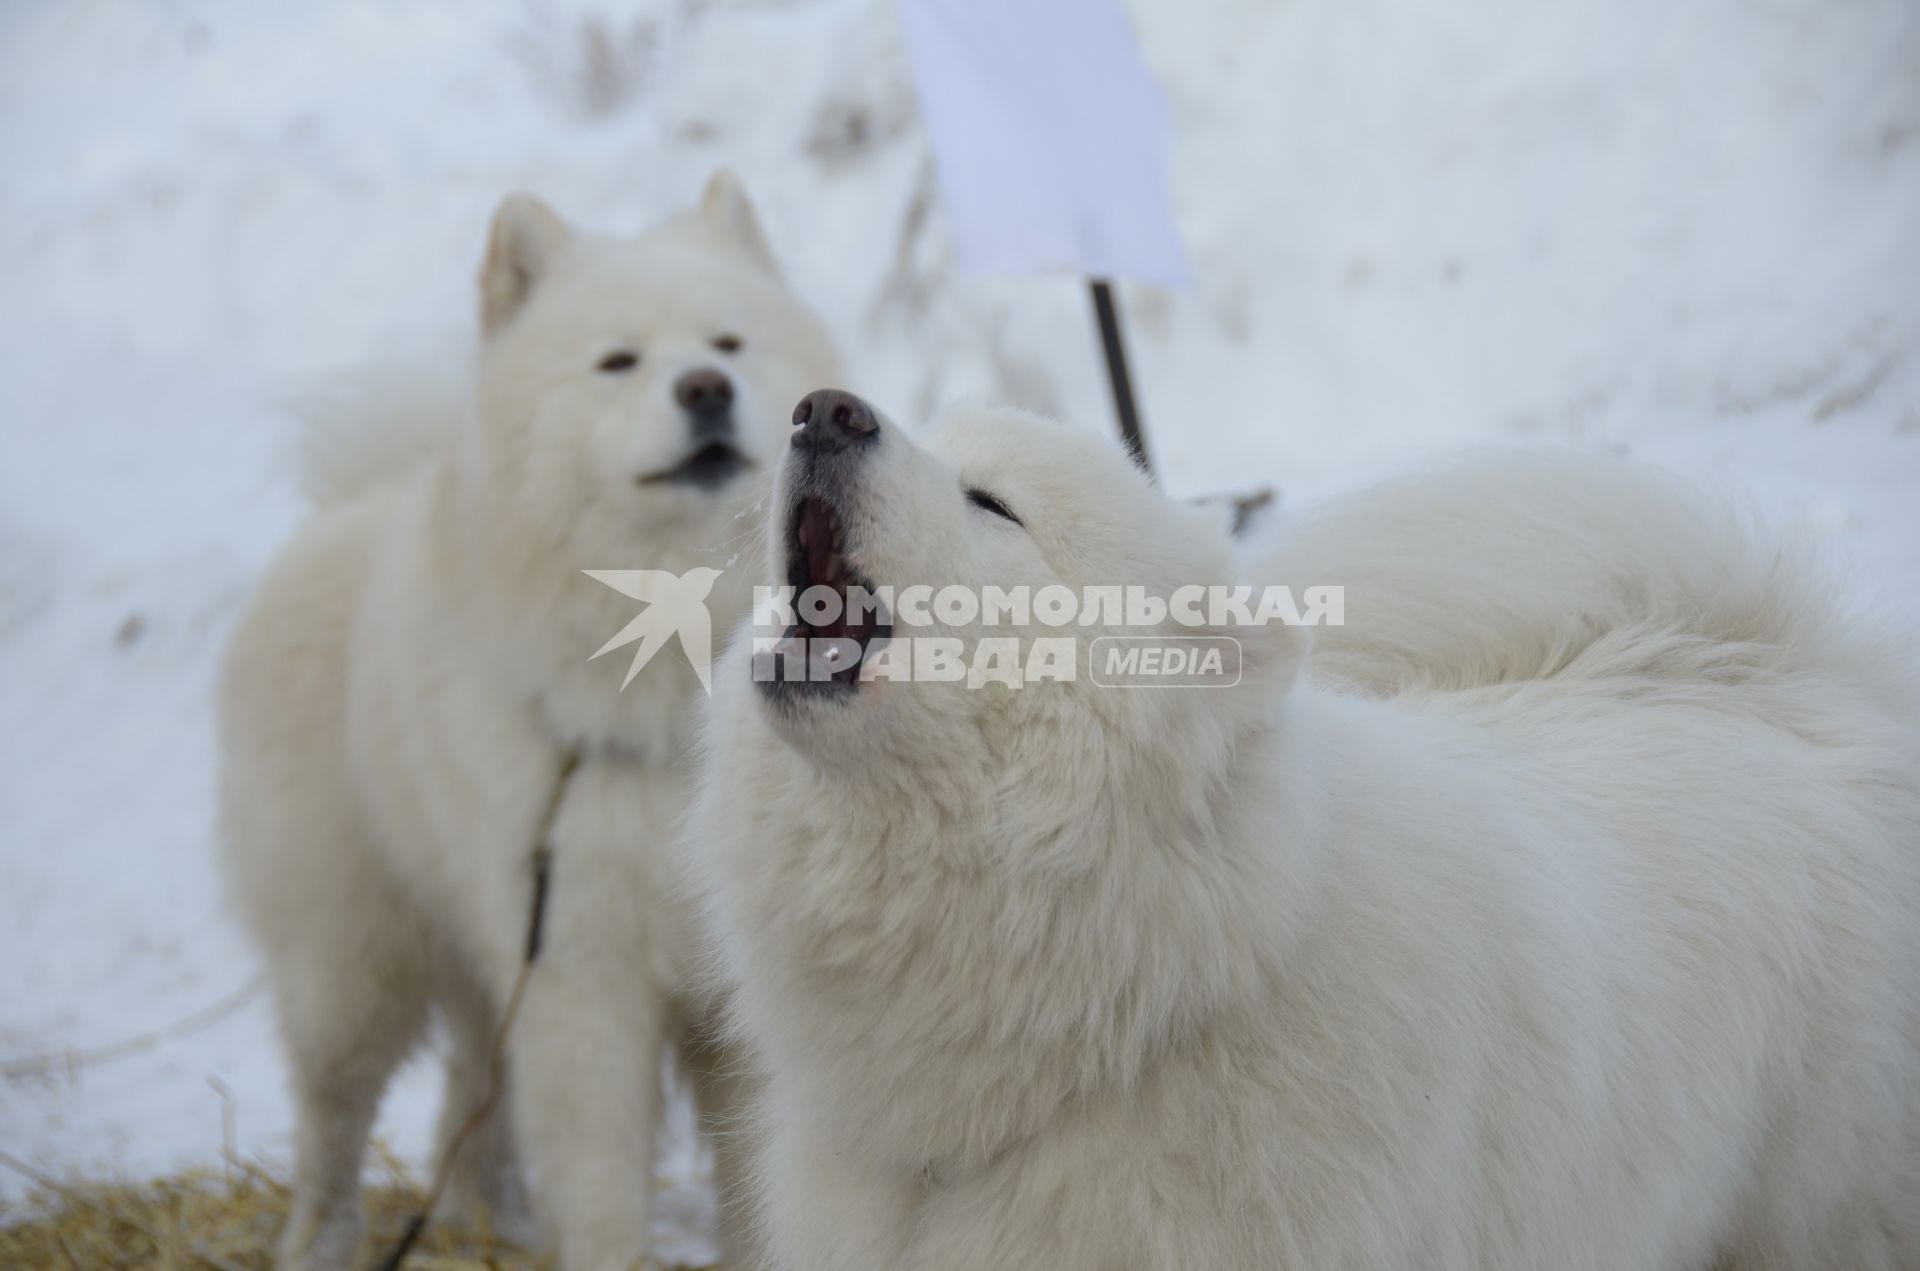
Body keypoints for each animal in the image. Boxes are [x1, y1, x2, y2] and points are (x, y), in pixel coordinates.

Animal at [219, 171, 840, 1271]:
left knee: (470, 1090)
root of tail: (349, 507)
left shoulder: (736, 996)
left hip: (478, 946)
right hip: (352, 961)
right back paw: (321, 1240)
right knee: (333, 1120)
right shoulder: (582, 974)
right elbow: (598, 1185)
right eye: (618, 362)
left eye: (728, 344)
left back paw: (486, 1215)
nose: (706, 390)